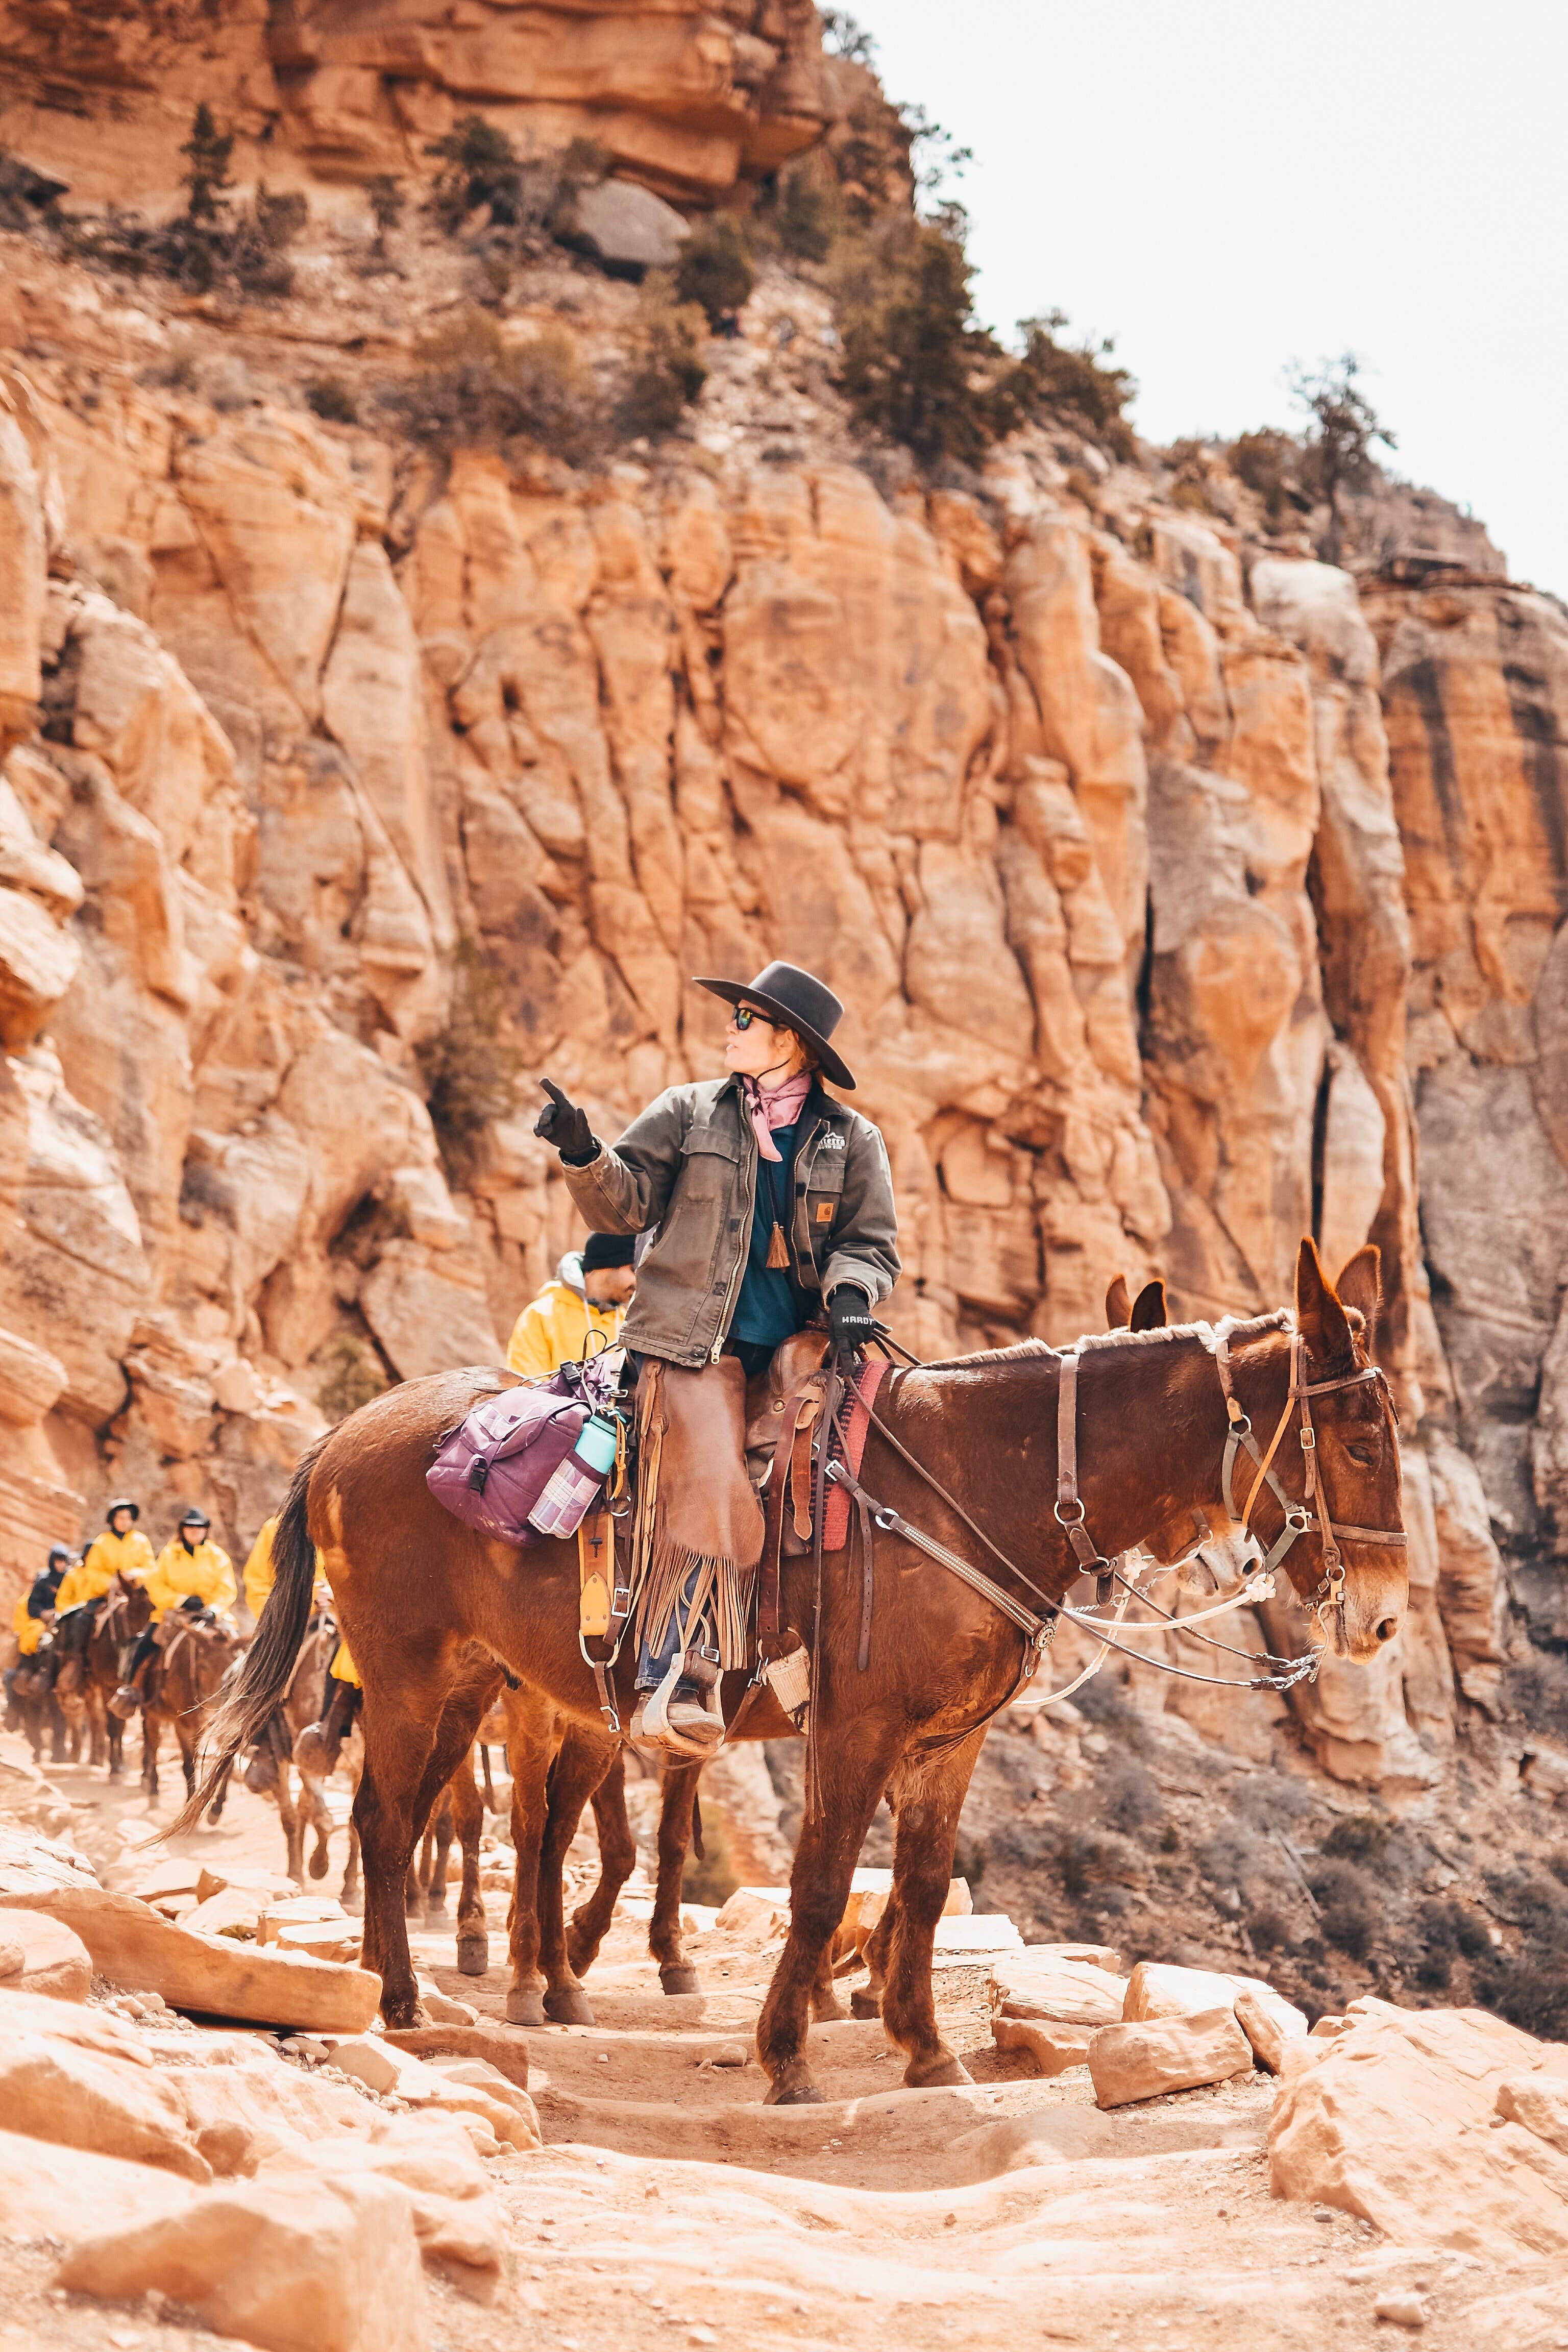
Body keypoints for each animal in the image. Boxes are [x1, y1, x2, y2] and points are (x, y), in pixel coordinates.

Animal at [180, 1239, 1406, 2103]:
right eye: (1358, 1444)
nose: (1387, 1618)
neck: (966, 1477)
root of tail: (342, 1439)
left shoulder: (949, 1741)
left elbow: (918, 1887)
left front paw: (921, 2045)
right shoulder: (855, 1729)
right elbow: (820, 1886)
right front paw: (788, 2054)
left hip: (472, 1688)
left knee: (454, 1821)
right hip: (411, 1679)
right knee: (401, 1824)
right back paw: (405, 1997)